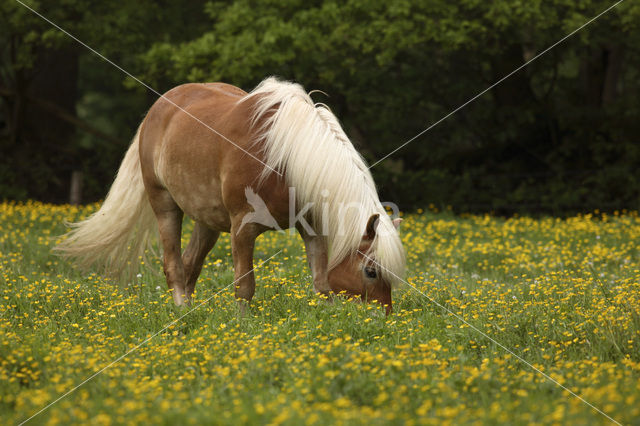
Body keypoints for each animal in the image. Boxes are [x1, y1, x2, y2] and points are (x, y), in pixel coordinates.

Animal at [56, 77, 404, 312]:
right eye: (371, 271)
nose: (382, 317)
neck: (285, 157)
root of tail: (161, 106)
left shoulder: (312, 229)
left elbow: (321, 283)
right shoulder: (243, 228)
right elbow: (244, 285)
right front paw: (242, 326)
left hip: (207, 221)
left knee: (190, 263)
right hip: (165, 205)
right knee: (174, 265)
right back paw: (181, 312)